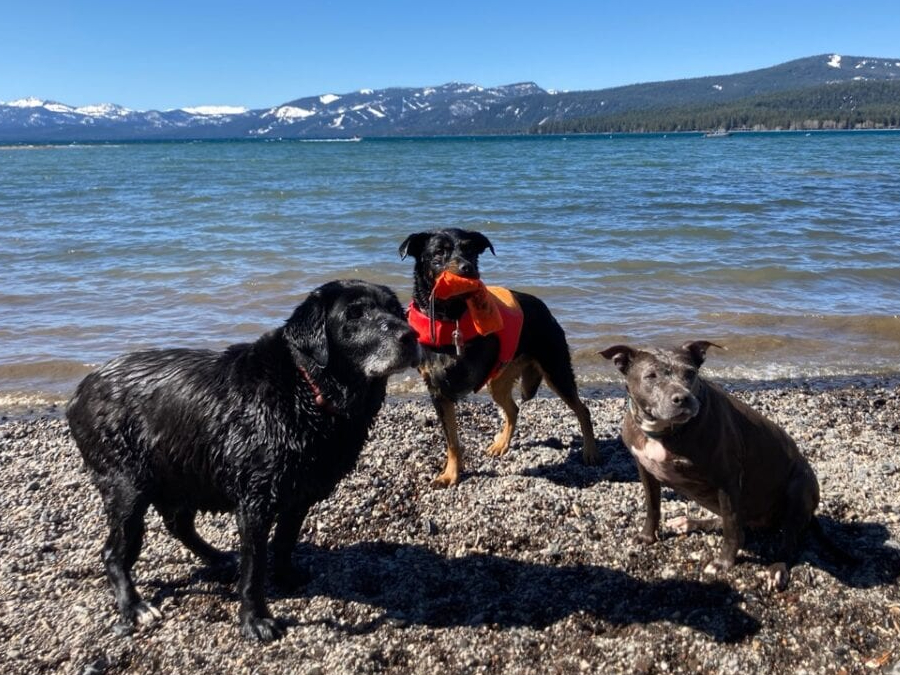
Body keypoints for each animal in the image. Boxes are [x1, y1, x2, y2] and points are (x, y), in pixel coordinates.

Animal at [68, 282, 420, 644]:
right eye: (354, 314)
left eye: (395, 310)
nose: (410, 335)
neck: (307, 389)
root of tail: (80, 391)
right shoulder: (255, 502)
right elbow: (254, 569)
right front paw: (256, 620)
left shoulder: (298, 496)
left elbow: (284, 542)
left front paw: (285, 577)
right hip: (129, 486)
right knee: (114, 553)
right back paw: (134, 606)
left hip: (187, 470)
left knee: (178, 524)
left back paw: (219, 559)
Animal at [400, 230, 596, 488]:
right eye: (439, 252)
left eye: (471, 250)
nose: (468, 268)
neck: (450, 315)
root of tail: (545, 308)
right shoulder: (437, 391)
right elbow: (452, 440)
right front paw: (451, 473)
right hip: (500, 380)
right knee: (513, 409)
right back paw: (502, 444)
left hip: (555, 368)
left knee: (583, 410)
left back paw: (590, 452)